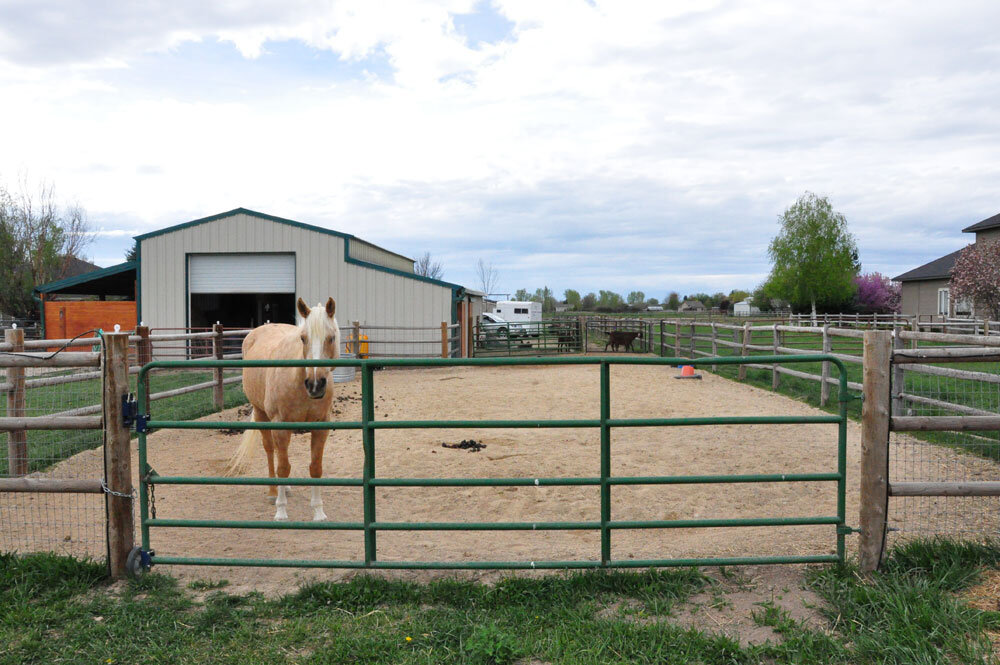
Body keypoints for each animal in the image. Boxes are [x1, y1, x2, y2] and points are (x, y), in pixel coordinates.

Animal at [225, 297, 340, 521]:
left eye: (331, 338)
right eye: (303, 338)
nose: (315, 385)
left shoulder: (321, 426)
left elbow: (315, 468)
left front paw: (318, 512)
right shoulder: (280, 425)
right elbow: (283, 466)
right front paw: (281, 511)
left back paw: (285, 488)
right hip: (261, 414)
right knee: (271, 451)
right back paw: (273, 492)